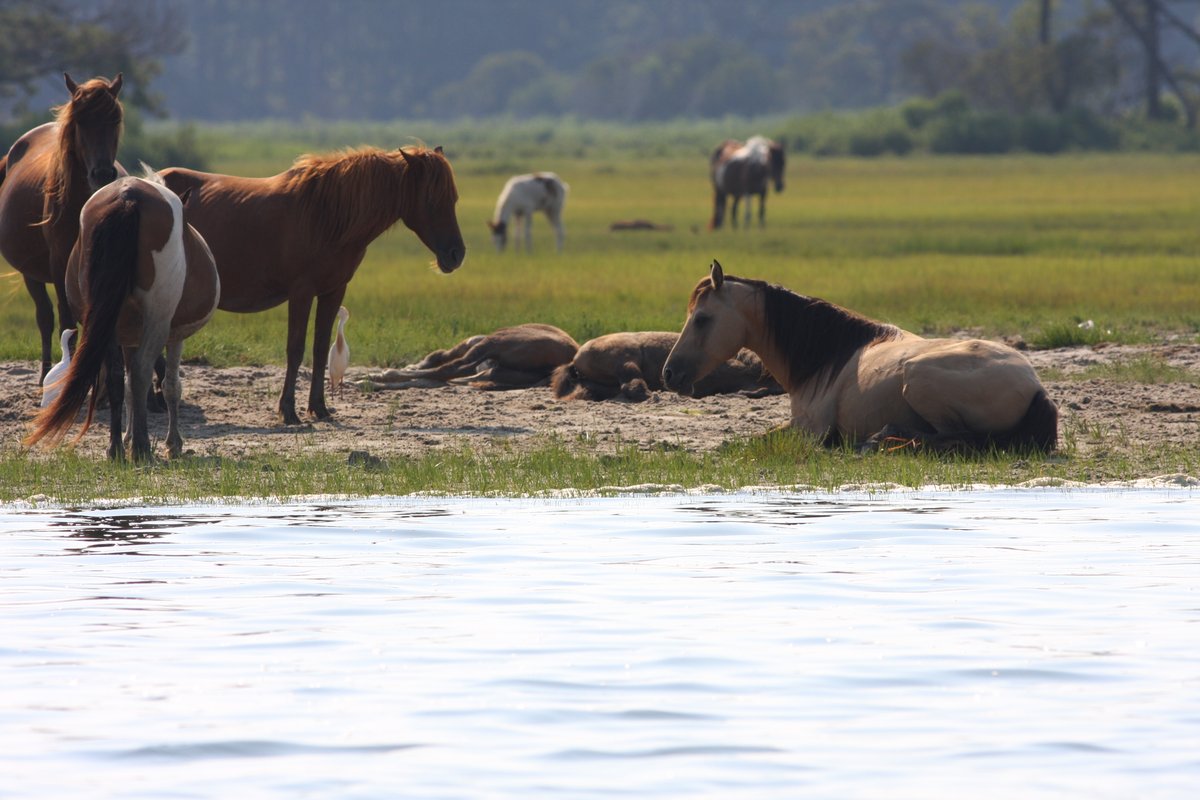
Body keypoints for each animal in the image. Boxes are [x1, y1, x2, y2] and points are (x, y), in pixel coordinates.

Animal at [0, 73, 123, 383]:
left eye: (115, 119)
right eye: (80, 120)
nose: (102, 174)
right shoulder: (59, 264)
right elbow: (67, 321)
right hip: (31, 272)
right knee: (45, 318)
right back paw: (45, 373)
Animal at [163, 148, 468, 424]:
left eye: (453, 199)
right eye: (431, 200)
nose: (456, 254)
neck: (327, 215)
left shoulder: (333, 291)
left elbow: (321, 349)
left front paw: (319, 408)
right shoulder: (302, 292)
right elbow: (295, 349)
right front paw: (288, 411)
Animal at [657, 261, 1060, 453]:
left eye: (701, 318)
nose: (669, 373)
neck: (824, 358)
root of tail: (1034, 385)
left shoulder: (809, 430)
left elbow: (751, 441)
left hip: (918, 377)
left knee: (955, 438)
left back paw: (882, 440)